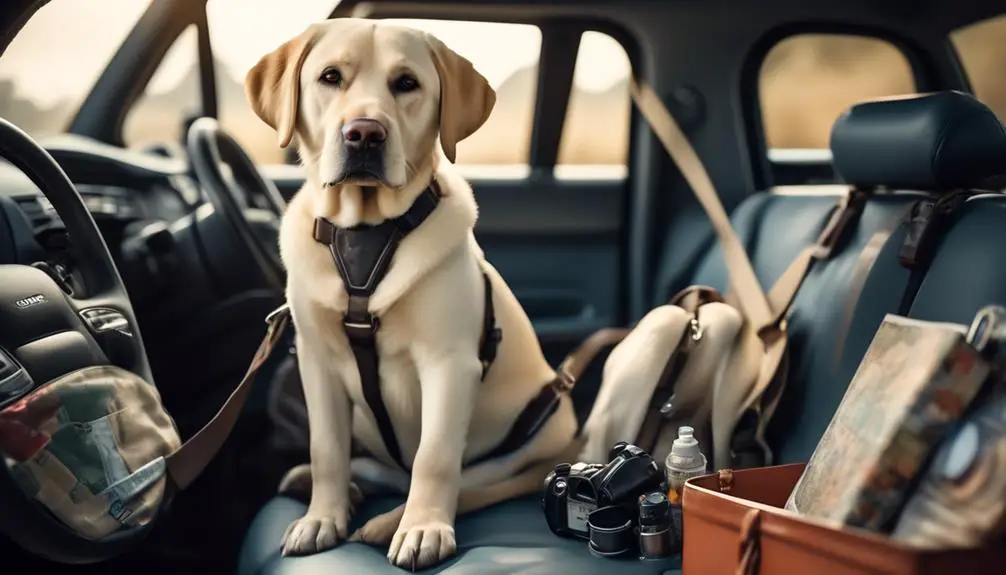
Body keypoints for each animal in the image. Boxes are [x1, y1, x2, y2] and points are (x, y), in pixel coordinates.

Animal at [245, 17, 583, 570]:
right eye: (330, 77)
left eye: (406, 84)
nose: (364, 134)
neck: (367, 231)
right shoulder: (316, 361)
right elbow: (326, 448)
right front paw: (323, 516)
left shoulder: (450, 364)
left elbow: (435, 457)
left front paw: (422, 527)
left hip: (525, 451)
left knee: (468, 480)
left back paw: (391, 520)